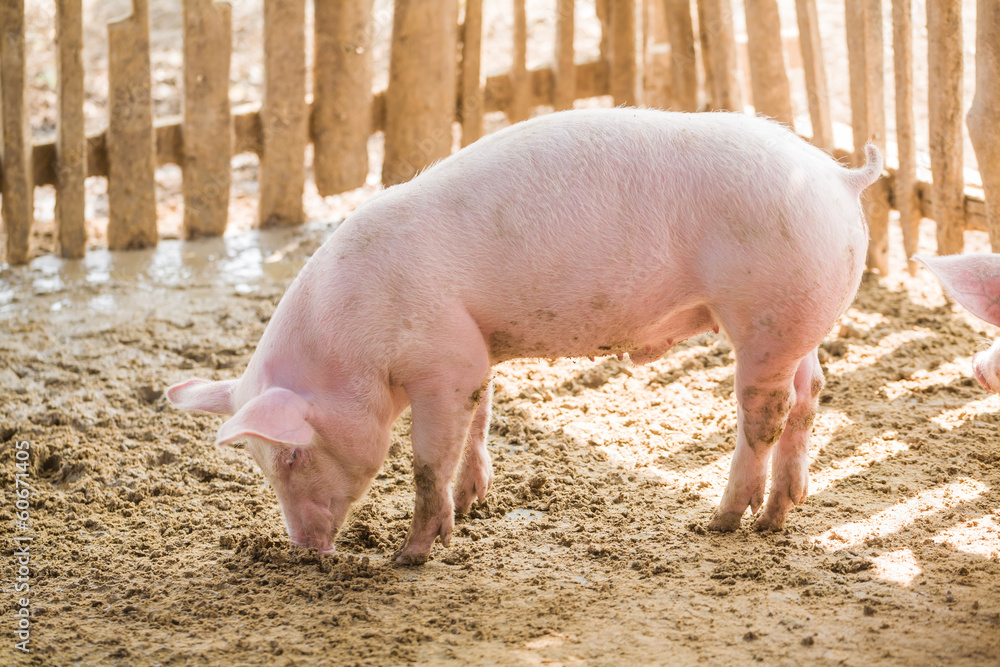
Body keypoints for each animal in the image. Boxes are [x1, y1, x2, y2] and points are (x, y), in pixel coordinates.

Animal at [167, 108, 883, 564]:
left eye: (289, 457)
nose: (303, 549)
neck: (355, 338)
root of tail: (841, 177)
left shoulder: (442, 360)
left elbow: (427, 459)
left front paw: (410, 555)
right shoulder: (473, 347)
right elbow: (478, 421)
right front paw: (471, 504)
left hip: (765, 315)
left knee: (764, 411)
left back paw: (724, 521)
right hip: (796, 323)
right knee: (810, 392)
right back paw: (781, 509)